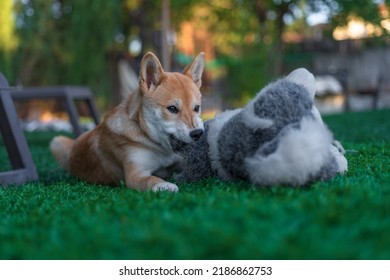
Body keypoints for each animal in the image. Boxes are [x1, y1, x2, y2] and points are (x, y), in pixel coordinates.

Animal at [50, 52, 206, 192]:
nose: (198, 133)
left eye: (196, 108)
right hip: (57, 141)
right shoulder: (135, 175)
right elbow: (151, 179)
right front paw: (165, 185)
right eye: (172, 108)